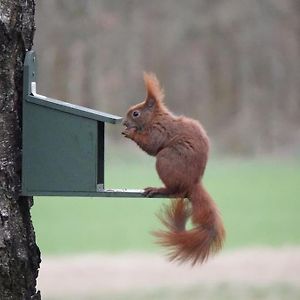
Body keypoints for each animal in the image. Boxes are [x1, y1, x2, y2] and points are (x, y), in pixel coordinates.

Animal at [122, 72, 225, 264]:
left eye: (135, 113)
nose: (124, 122)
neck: (155, 118)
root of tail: (193, 183)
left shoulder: (159, 131)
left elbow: (151, 144)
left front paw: (130, 133)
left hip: (165, 161)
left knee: (174, 190)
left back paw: (158, 189)